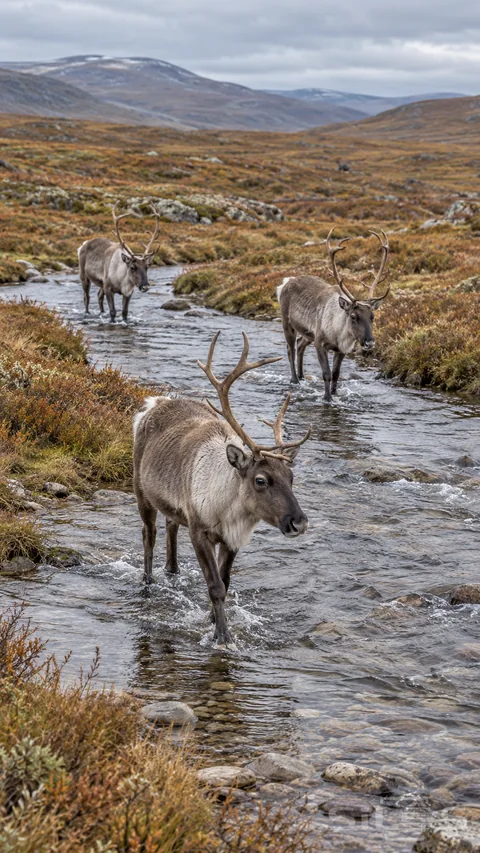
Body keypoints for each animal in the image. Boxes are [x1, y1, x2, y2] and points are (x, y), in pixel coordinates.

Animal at [133, 331, 311, 646]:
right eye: (261, 480)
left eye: (291, 477)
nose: (298, 523)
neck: (228, 509)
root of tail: (153, 403)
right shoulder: (200, 532)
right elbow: (215, 586)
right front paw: (222, 636)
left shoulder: (230, 540)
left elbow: (225, 584)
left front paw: (214, 620)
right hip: (141, 491)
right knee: (148, 535)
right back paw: (149, 582)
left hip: (173, 505)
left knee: (170, 525)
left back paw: (172, 570)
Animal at [277, 228, 390, 402]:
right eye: (353, 316)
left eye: (373, 317)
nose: (370, 342)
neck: (338, 334)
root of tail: (285, 282)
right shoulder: (320, 343)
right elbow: (327, 374)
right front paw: (327, 398)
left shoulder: (341, 350)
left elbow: (336, 374)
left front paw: (335, 394)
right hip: (287, 324)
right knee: (290, 349)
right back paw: (295, 380)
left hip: (308, 334)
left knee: (300, 344)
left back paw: (302, 376)